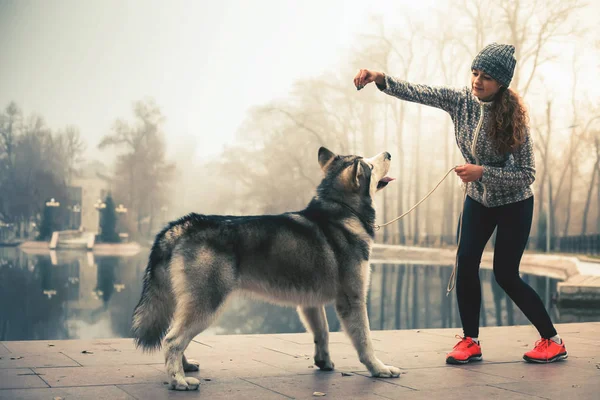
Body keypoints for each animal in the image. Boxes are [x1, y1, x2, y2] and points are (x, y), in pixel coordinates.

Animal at [134, 147, 400, 390]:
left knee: (175, 337)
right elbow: (365, 341)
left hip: (192, 305)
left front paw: (324, 362)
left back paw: (185, 366)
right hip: (207, 305)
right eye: (370, 165)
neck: (343, 212)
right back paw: (178, 380)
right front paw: (379, 368)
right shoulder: (352, 299)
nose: (388, 153)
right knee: (172, 340)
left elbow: (322, 334)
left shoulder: (310, 303)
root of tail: (182, 224)